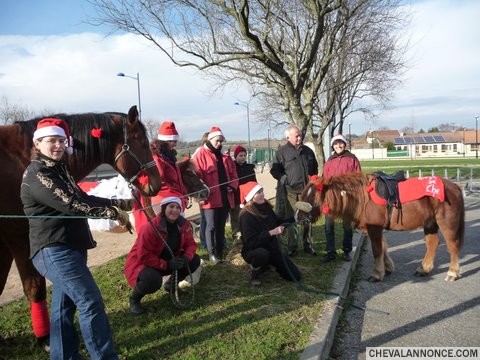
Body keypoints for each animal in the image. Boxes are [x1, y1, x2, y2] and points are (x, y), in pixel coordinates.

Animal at [0, 105, 161, 342]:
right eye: (141, 141)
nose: (156, 184)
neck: (22, 157)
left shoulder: (3, 244)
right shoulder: (18, 238)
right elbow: (34, 287)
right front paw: (45, 339)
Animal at [296, 173, 464, 282]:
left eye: (313, 196)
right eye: (304, 193)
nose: (297, 217)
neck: (362, 197)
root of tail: (454, 186)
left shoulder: (374, 228)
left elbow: (377, 250)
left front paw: (377, 274)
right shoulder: (374, 228)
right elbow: (383, 248)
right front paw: (387, 268)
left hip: (446, 222)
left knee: (452, 246)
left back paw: (452, 272)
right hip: (430, 223)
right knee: (432, 244)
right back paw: (424, 268)